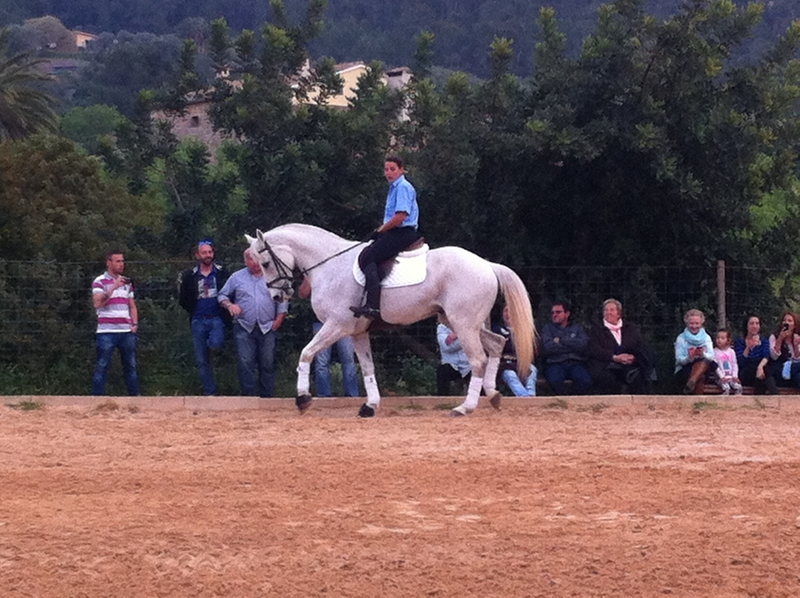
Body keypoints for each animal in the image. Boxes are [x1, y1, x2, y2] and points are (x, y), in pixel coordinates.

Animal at [246, 223, 535, 417]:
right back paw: (493, 396)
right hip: (460, 322)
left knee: (478, 360)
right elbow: (367, 368)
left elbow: (306, 353)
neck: (329, 265)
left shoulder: (336, 325)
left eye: (265, 263)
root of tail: (487, 265)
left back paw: (465, 407)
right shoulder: (357, 332)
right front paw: (369, 406)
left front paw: (303, 398)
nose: (277, 295)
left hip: (463, 324)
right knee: (496, 344)